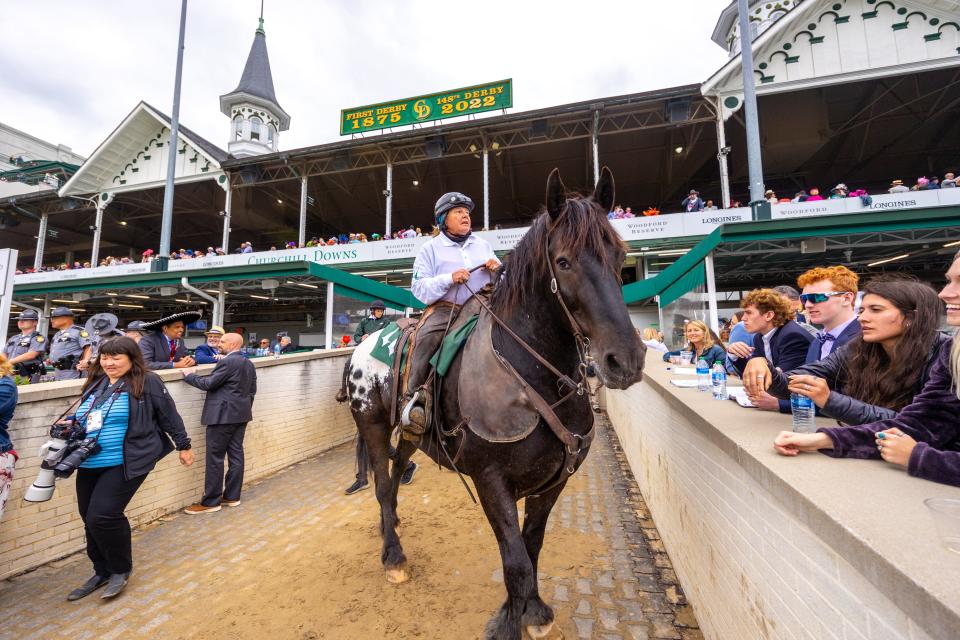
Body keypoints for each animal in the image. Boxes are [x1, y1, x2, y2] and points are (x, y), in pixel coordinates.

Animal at [338, 168, 644, 636]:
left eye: (619, 254)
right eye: (563, 261)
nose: (625, 360)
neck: (532, 376)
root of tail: (365, 344)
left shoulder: (555, 480)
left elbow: (531, 546)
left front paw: (532, 610)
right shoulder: (490, 481)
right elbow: (515, 561)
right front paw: (509, 623)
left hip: (408, 435)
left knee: (394, 474)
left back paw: (391, 526)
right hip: (370, 423)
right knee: (383, 483)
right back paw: (393, 554)